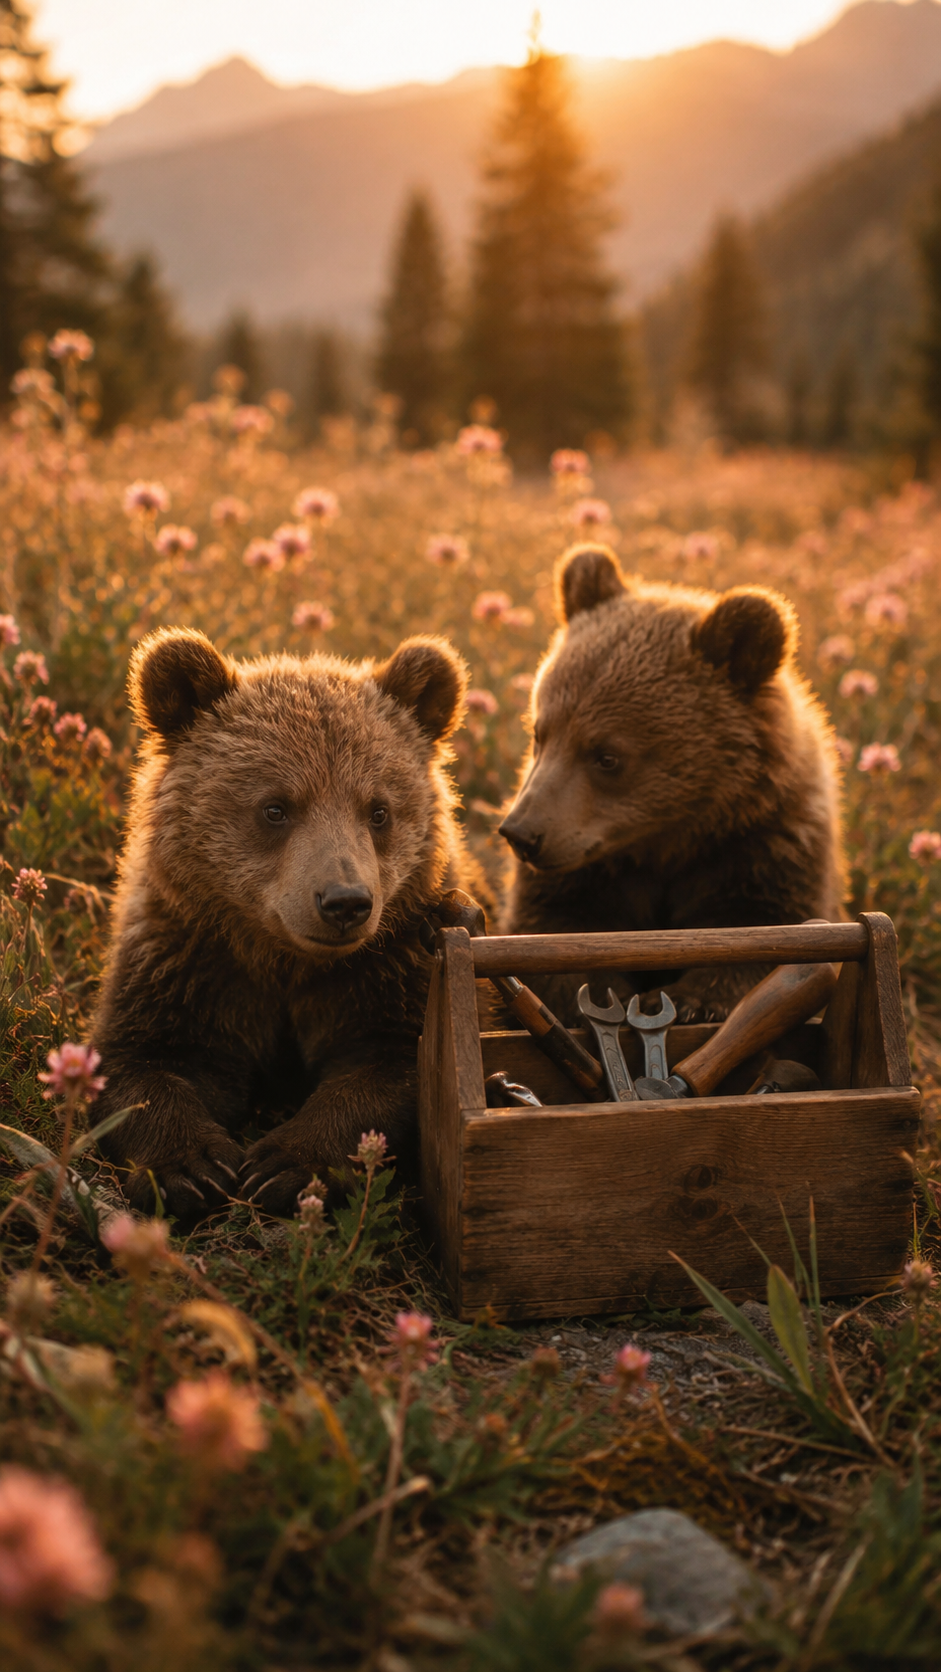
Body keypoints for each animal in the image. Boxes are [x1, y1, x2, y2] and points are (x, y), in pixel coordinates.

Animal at [92, 626, 479, 1218]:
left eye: (379, 810)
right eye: (275, 807)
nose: (345, 901)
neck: (284, 960)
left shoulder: (389, 967)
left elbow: (393, 1065)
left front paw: (284, 1165)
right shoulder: (188, 959)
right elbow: (144, 1058)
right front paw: (190, 1167)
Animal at [498, 543, 844, 1025]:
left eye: (607, 756)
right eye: (539, 732)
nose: (522, 834)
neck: (673, 838)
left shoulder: (766, 845)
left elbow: (769, 935)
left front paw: (690, 1001)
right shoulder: (584, 873)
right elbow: (552, 935)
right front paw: (609, 994)